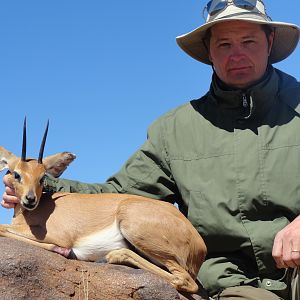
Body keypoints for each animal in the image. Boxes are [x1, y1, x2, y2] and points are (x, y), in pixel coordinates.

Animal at [0, 119, 206, 292]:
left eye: (43, 177)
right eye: (16, 174)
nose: (30, 199)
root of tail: (200, 245)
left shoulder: (57, 235)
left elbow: (3, 229)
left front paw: (62, 251)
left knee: (185, 281)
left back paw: (112, 256)